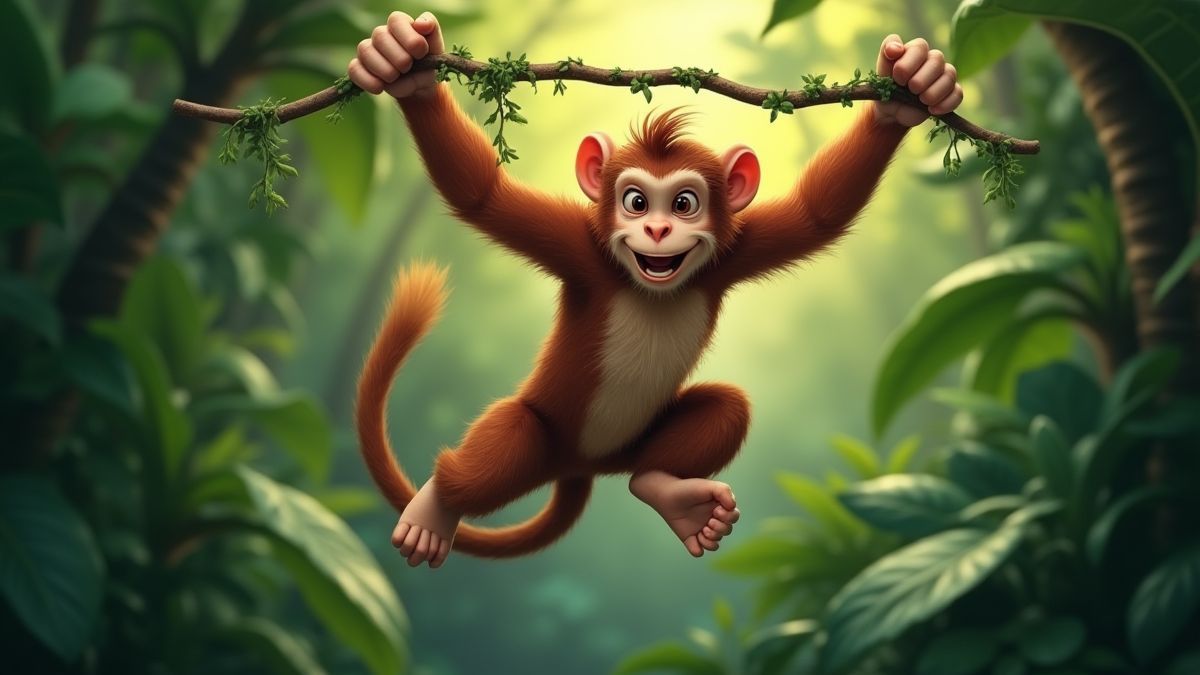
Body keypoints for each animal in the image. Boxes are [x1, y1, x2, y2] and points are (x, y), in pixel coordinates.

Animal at [350, 11, 963, 568]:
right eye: (636, 202)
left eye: (685, 203)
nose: (659, 231)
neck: (647, 285)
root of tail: (581, 468)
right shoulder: (582, 251)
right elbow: (480, 193)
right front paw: (405, 64)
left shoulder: (732, 255)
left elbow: (819, 212)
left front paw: (907, 89)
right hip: (548, 435)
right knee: (511, 435)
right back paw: (437, 505)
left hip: (635, 444)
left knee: (720, 412)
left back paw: (668, 492)